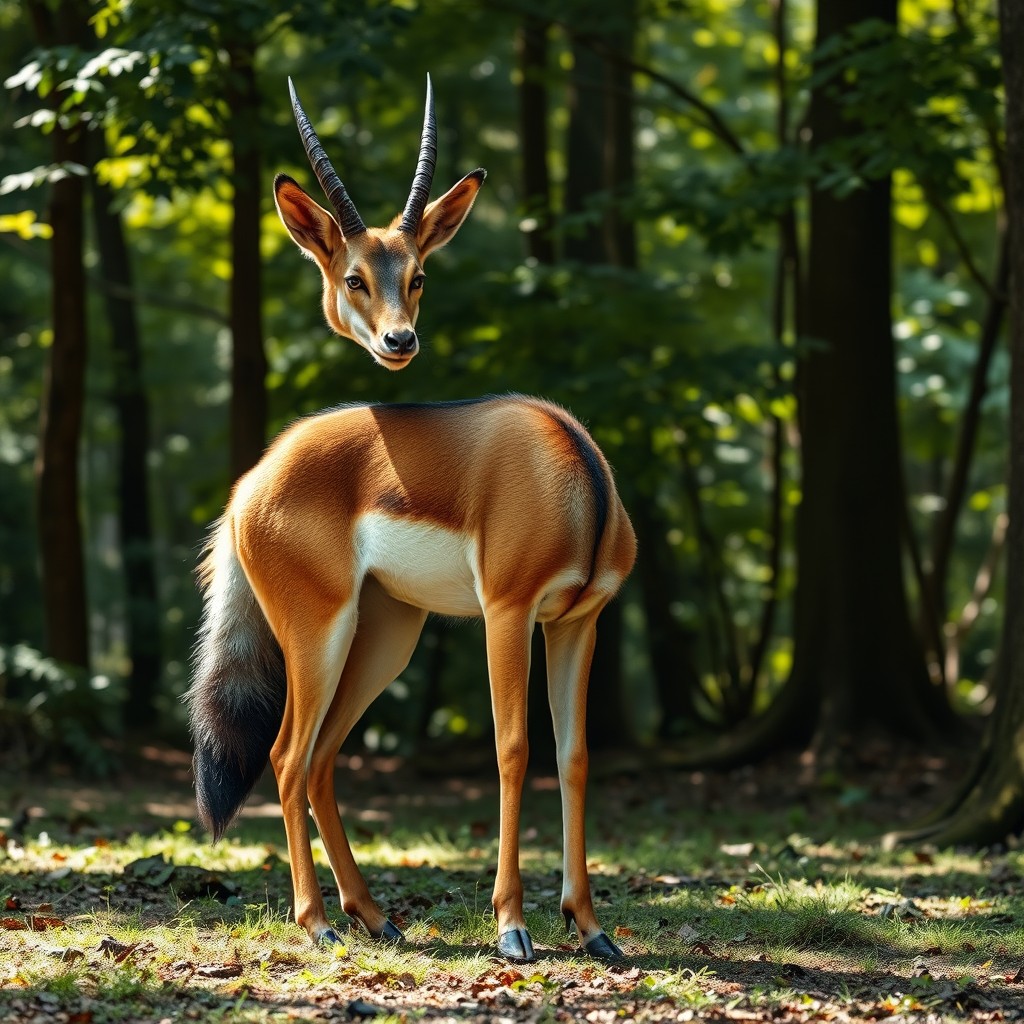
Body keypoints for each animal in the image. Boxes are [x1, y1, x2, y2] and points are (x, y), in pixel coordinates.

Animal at [187, 76, 636, 963]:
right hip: (320, 630)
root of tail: (252, 482)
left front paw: (592, 926)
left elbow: (574, 756)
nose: (400, 340)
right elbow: (513, 749)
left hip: (386, 634)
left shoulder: (580, 620)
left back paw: (374, 914)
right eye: (356, 275)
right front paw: (512, 926)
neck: (574, 479)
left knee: (322, 758)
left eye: (419, 273)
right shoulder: (508, 614)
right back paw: (318, 923)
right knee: (287, 755)